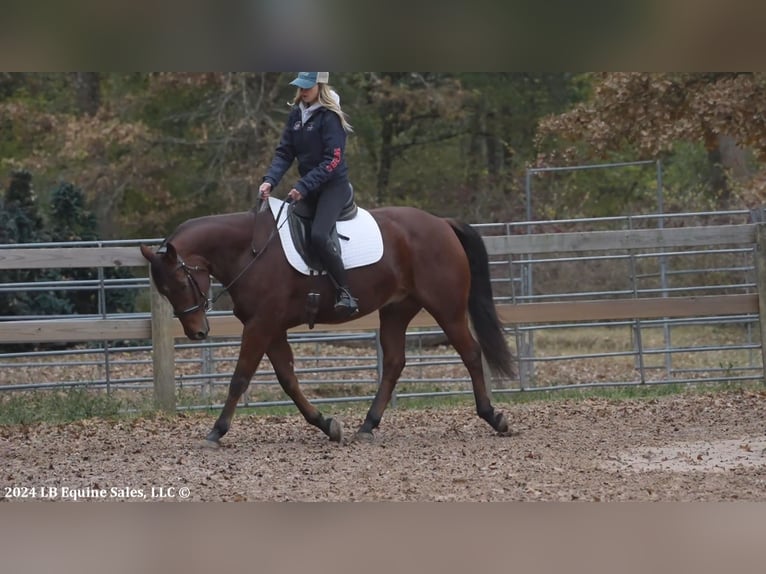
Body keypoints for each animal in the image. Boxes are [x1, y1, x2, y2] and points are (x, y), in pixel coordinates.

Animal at [142, 200, 520, 448]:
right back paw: (367, 426)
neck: (250, 251)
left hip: (447, 307)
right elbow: (288, 380)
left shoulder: (261, 325)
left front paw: (216, 431)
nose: (197, 332)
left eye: (180, 283)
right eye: (163, 290)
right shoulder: (270, 327)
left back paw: (493, 416)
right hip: (397, 310)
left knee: (470, 352)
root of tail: (441, 224)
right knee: (394, 363)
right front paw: (326, 424)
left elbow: (240, 378)